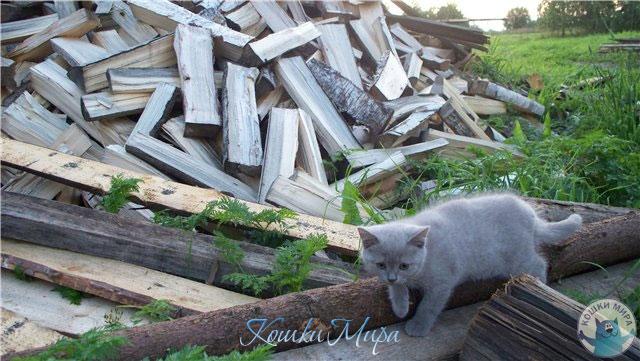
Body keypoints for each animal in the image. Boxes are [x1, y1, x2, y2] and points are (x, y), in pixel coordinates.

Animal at [358, 193, 584, 336]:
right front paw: (401, 306)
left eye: (404, 265)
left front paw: (418, 326)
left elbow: (428, 306)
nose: (391, 277)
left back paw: (539, 284)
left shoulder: (442, 283)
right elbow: (397, 289)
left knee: (539, 264)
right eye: (380, 265)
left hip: (518, 258)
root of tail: (531, 214)